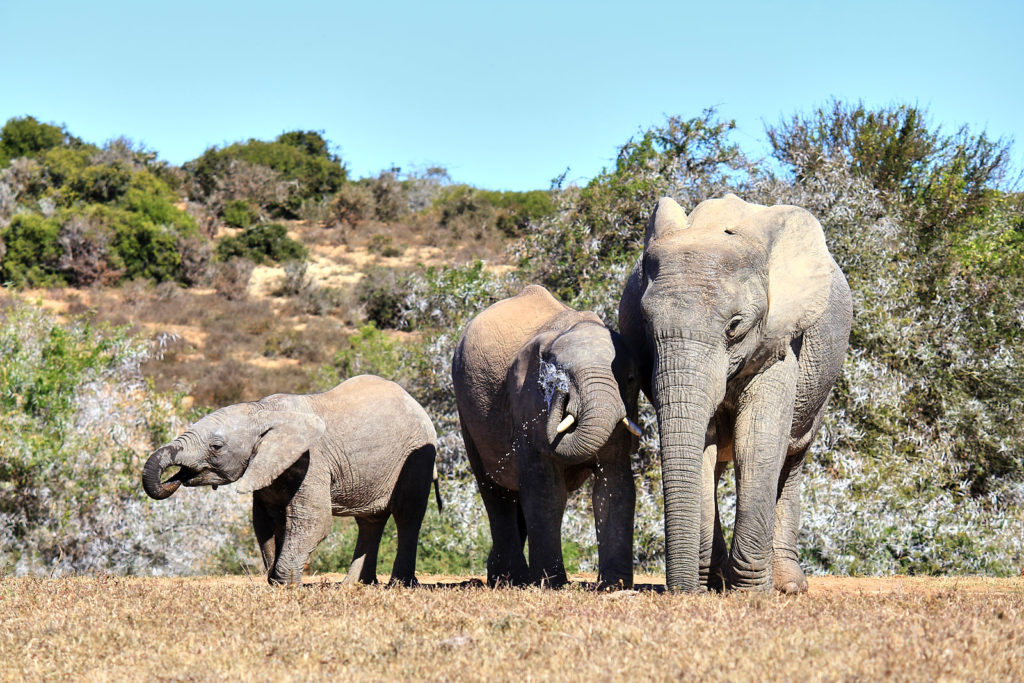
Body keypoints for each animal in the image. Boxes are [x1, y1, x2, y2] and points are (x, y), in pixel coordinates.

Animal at [140, 376, 436, 585]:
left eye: (216, 446)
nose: (175, 478)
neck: (263, 410)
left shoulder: (312, 462)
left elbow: (313, 520)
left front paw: (286, 584)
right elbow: (266, 521)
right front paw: (274, 581)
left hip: (417, 457)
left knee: (408, 515)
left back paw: (398, 584)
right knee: (369, 522)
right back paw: (355, 585)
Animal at [450, 282, 634, 589]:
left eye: (630, 379)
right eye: (561, 376)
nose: (557, 390)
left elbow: (614, 486)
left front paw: (614, 586)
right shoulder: (526, 401)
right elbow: (545, 490)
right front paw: (551, 583)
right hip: (466, 410)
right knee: (496, 491)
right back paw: (510, 578)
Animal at [618, 193, 851, 593]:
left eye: (735, 326)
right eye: (646, 324)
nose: (679, 593)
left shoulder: (780, 336)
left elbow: (756, 442)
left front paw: (750, 592)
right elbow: (704, 449)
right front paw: (711, 586)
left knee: (793, 457)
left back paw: (788, 585)